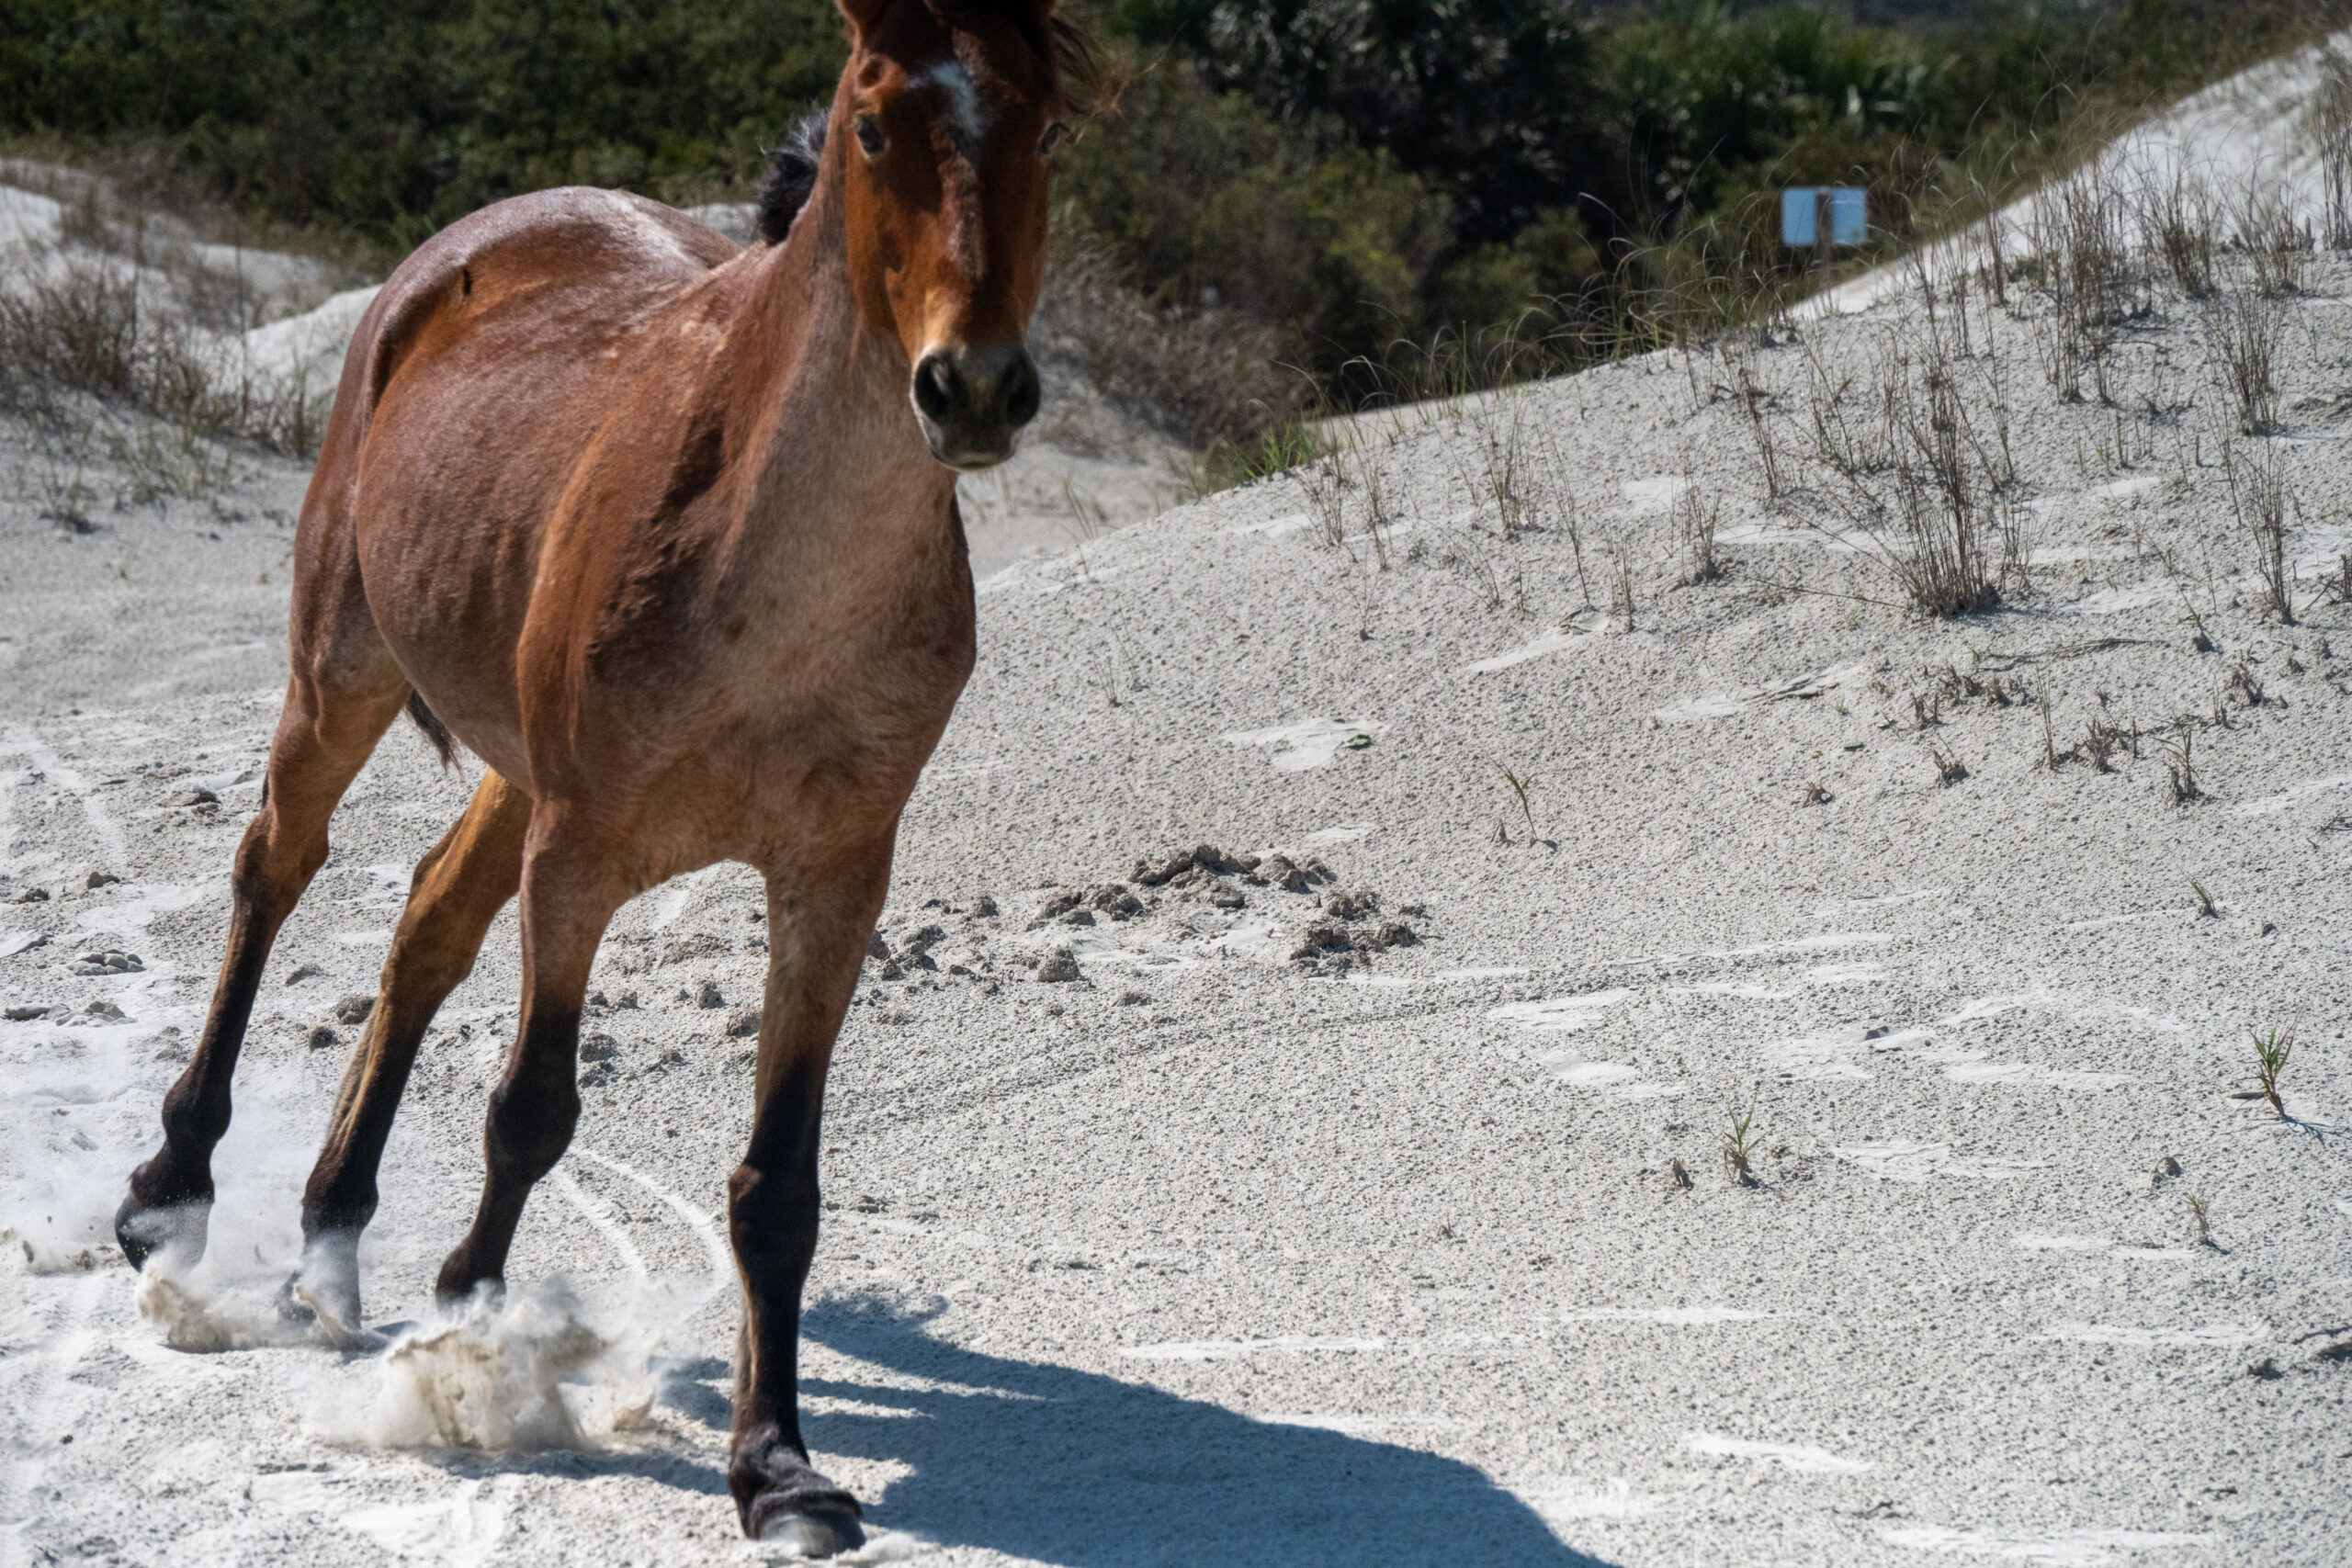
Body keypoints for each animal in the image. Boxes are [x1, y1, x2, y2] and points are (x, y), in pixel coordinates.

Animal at [113, 0, 1097, 1550]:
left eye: (1050, 127)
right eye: (877, 124)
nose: (976, 386)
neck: (773, 579)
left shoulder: (835, 878)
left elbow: (777, 1186)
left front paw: (776, 1465)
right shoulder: (579, 854)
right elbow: (532, 1110)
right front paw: (469, 1334)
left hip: (509, 765)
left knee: (423, 925)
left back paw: (331, 1248)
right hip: (344, 674)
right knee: (276, 867)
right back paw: (172, 1193)